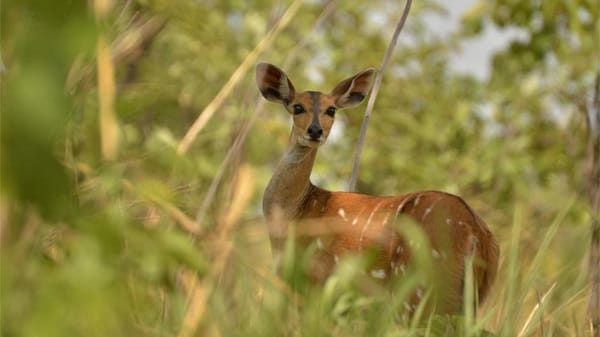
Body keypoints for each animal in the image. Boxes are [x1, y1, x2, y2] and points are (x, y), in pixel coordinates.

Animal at [255, 62, 500, 312]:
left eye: (331, 110)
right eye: (297, 107)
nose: (315, 131)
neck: (295, 211)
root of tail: (475, 234)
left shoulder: (314, 281)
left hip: (419, 289)